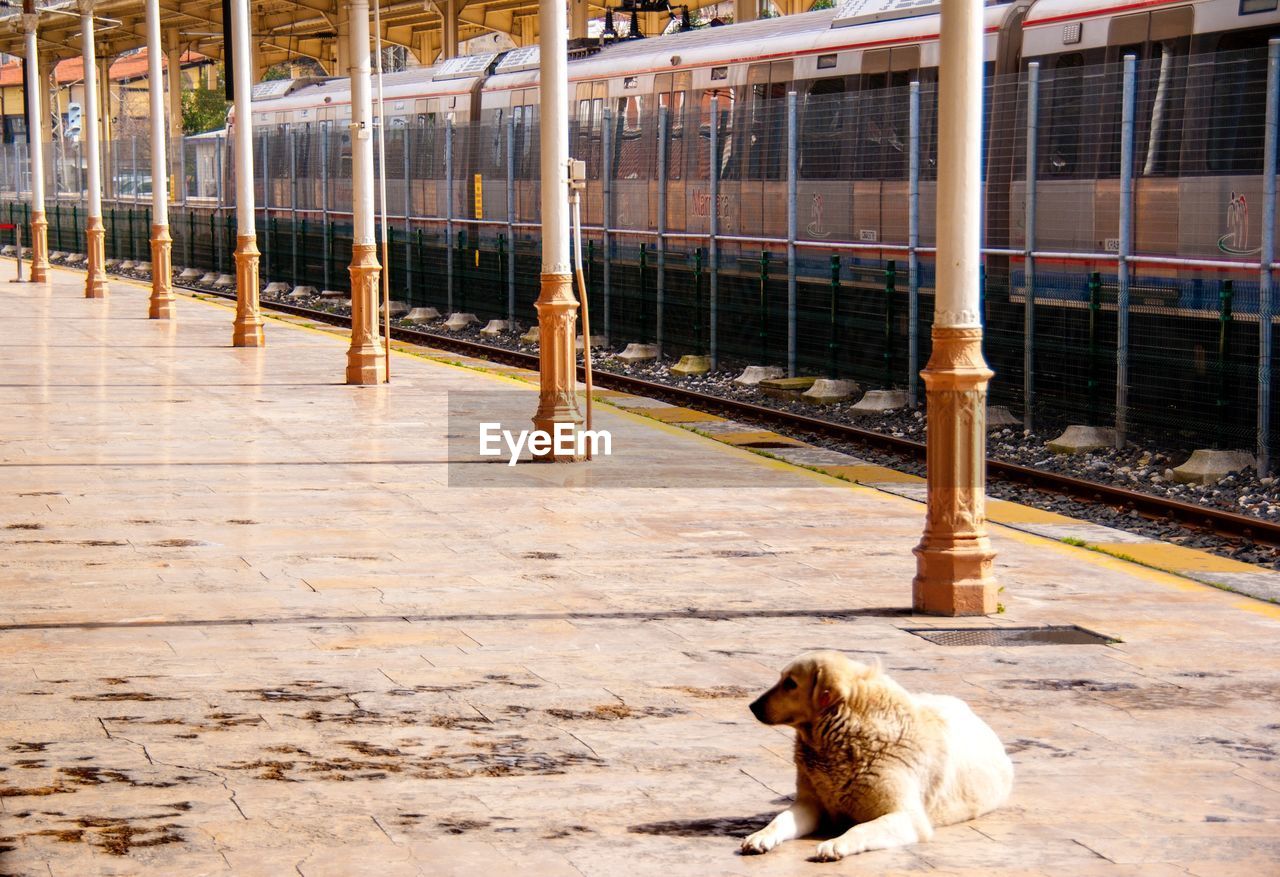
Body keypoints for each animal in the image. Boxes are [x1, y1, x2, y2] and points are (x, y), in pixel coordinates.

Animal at [742, 650, 1008, 860]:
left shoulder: (908, 818)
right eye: (782, 679)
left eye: (790, 684)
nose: (752, 707)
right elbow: (780, 820)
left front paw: (835, 844)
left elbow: (860, 829)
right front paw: (760, 836)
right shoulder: (810, 805)